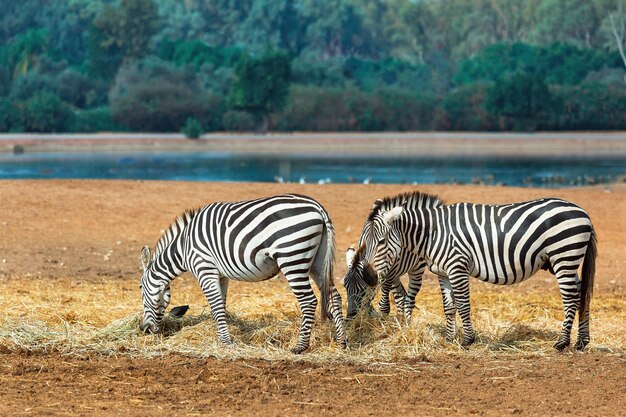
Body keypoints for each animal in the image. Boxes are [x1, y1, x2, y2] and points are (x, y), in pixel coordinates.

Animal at [137, 193, 348, 352]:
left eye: (140, 289)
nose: (144, 329)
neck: (183, 247)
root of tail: (317, 207)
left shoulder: (204, 268)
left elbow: (216, 305)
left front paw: (226, 342)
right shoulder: (220, 275)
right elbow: (220, 305)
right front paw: (221, 335)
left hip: (292, 257)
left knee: (308, 301)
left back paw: (300, 346)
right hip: (318, 262)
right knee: (334, 296)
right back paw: (342, 342)